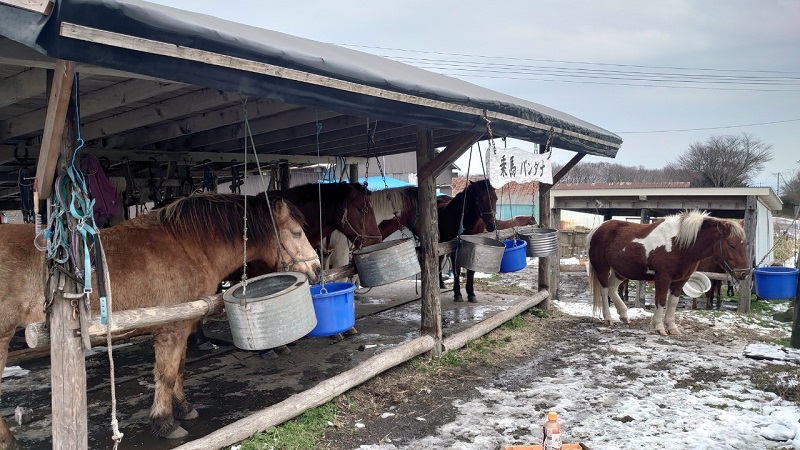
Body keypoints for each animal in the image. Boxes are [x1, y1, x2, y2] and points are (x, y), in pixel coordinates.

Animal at [0, 192, 318, 442]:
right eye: (296, 233)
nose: (316, 268)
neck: (188, 247)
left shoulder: (184, 326)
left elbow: (178, 370)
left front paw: (184, 409)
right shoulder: (171, 329)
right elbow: (165, 374)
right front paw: (165, 422)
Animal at [588, 210, 752, 334]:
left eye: (745, 245)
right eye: (731, 245)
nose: (744, 273)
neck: (679, 244)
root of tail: (598, 228)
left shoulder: (681, 280)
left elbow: (673, 303)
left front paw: (672, 327)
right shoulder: (663, 278)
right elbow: (661, 301)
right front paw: (659, 327)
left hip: (621, 271)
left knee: (612, 288)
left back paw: (623, 315)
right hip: (602, 267)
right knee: (604, 290)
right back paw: (608, 318)